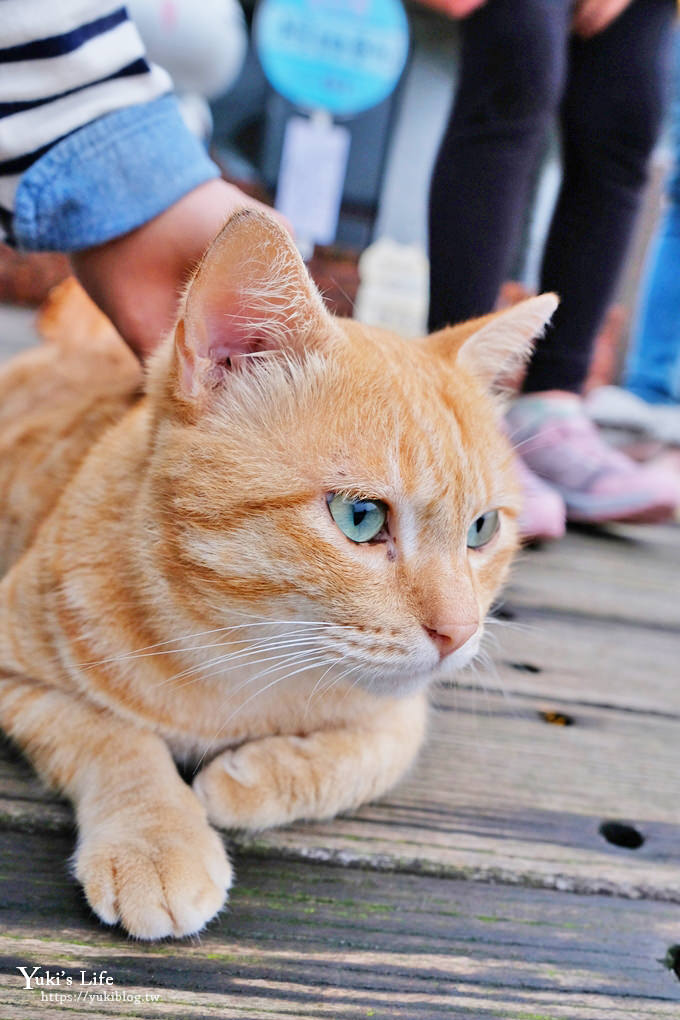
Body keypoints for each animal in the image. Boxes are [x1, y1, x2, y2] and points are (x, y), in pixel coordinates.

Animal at [0, 209, 554, 938]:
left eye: (483, 530)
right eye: (359, 517)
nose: (460, 634)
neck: (238, 659)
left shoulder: (401, 713)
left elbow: (375, 752)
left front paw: (246, 781)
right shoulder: (16, 674)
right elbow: (108, 737)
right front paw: (157, 840)